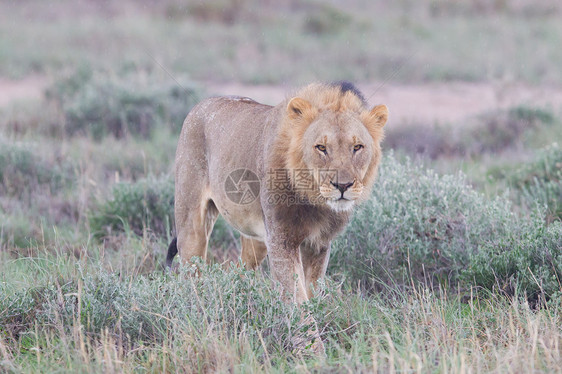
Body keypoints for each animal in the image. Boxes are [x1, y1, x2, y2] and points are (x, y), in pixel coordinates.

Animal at [165, 79, 384, 350]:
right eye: (321, 148)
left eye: (357, 147)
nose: (342, 186)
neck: (312, 197)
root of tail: (200, 105)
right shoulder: (282, 240)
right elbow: (298, 299)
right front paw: (313, 350)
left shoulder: (319, 244)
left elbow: (312, 294)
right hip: (192, 225)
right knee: (190, 276)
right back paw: (196, 318)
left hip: (257, 240)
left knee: (241, 270)